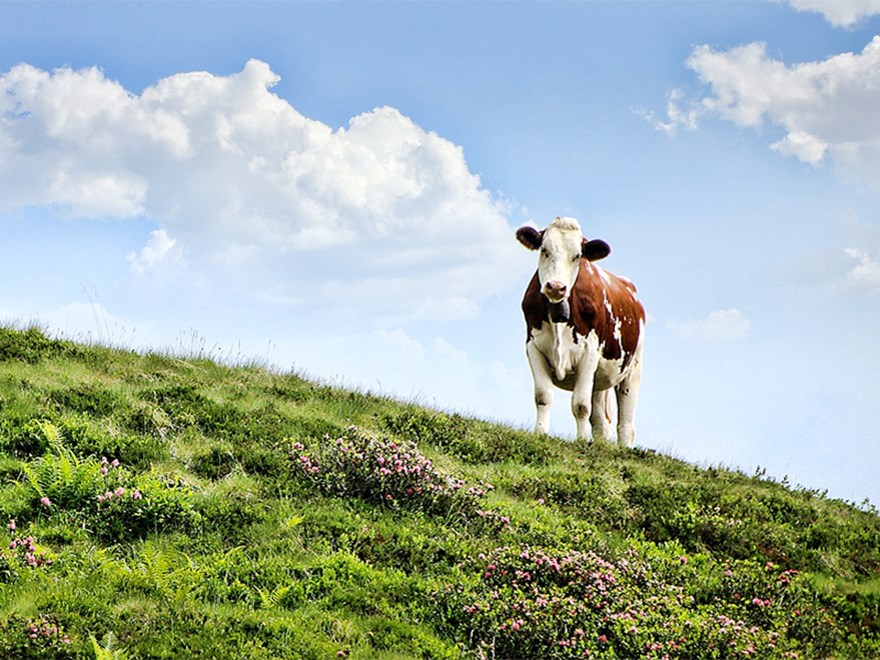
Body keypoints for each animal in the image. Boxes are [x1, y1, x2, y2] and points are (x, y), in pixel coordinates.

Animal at [516, 217, 648, 448]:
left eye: (577, 256)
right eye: (544, 249)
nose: (556, 287)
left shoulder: (589, 353)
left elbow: (580, 405)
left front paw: (582, 440)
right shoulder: (533, 347)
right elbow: (543, 396)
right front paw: (540, 432)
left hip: (633, 368)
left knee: (626, 420)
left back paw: (624, 448)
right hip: (600, 379)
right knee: (601, 420)